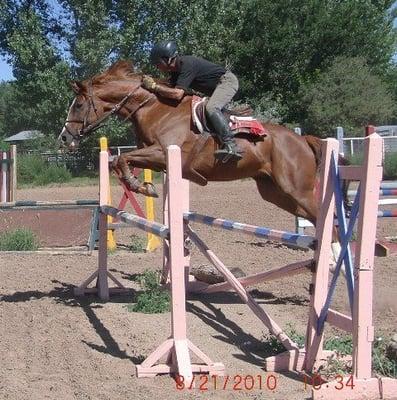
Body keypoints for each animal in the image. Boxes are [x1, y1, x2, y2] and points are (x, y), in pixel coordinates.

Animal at [58, 60, 330, 227]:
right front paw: (143, 185)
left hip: (297, 190)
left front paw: (141, 186)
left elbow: (123, 157)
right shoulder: (155, 159)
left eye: (78, 105)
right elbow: (116, 160)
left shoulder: (162, 153)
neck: (154, 108)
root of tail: (302, 139)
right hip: (275, 192)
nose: (64, 137)